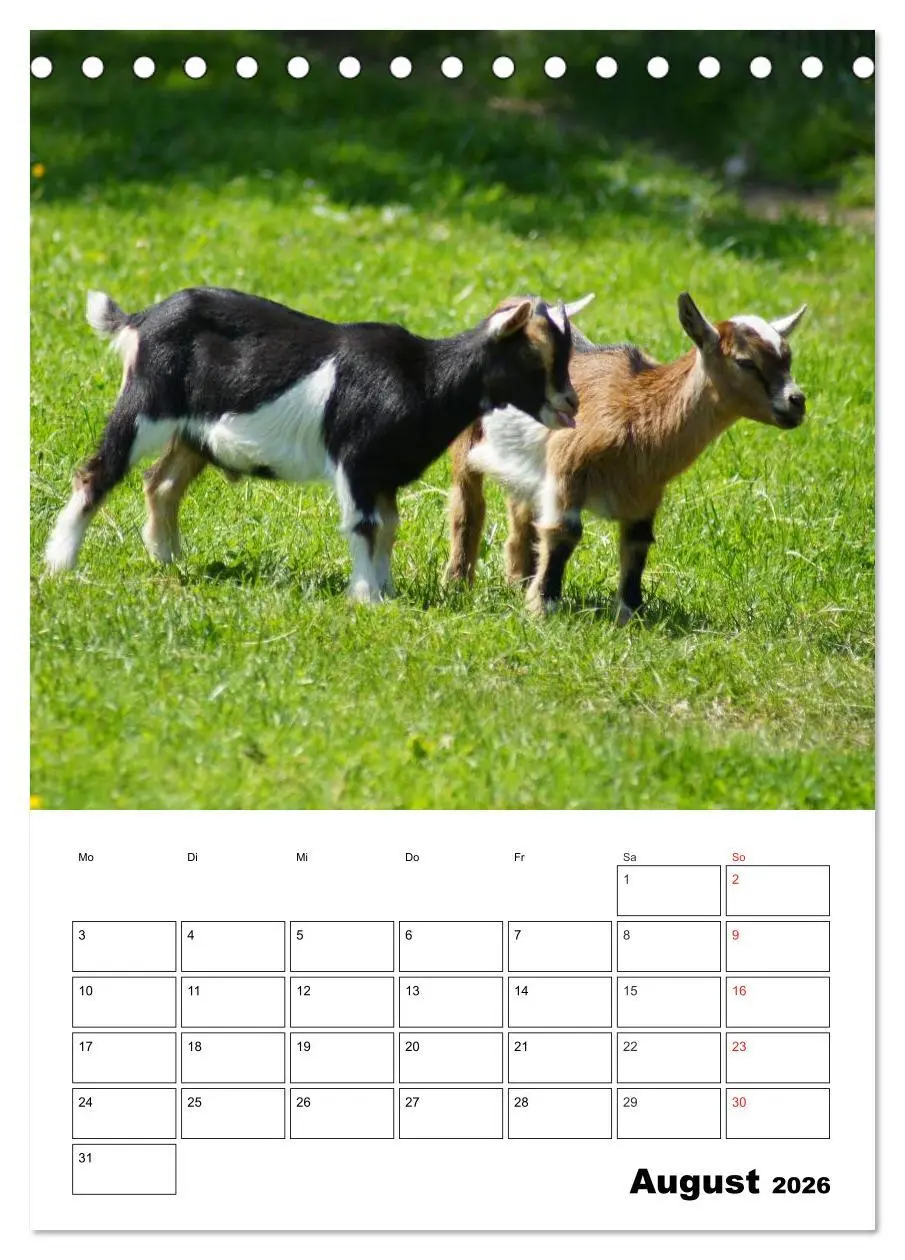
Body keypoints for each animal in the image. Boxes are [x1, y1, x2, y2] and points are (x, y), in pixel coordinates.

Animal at [44, 287, 578, 602]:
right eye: (533, 357)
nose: (571, 404)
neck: (426, 377)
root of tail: (140, 319)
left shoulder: (384, 472)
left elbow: (388, 528)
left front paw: (385, 590)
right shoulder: (357, 460)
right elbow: (365, 526)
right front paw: (366, 597)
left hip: (193, 434)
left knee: (162, 484)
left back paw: (168, 557)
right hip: (144, 409)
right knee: (98, 472)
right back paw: (60, 562)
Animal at [446, 292, 808, 621]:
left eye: (788, 358)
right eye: (745, 362)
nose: (797, 402)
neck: (638, 409)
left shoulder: (646, 492)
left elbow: (636, 545)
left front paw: (630, 614)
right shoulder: (567, 468)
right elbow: (563, 533)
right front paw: (543, 609)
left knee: (522, 513)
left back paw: (518, 581)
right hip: (468, 439)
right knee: (468, 504)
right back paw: (458, 583)